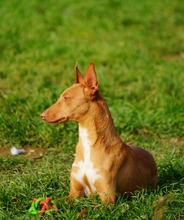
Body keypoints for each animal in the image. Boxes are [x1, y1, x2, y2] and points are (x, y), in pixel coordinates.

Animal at [40, 62, 158, 204]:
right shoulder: (74, 194)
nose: (42, 115)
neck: (88, 144)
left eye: (66, 98)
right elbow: (53, 201)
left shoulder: (108, 199)